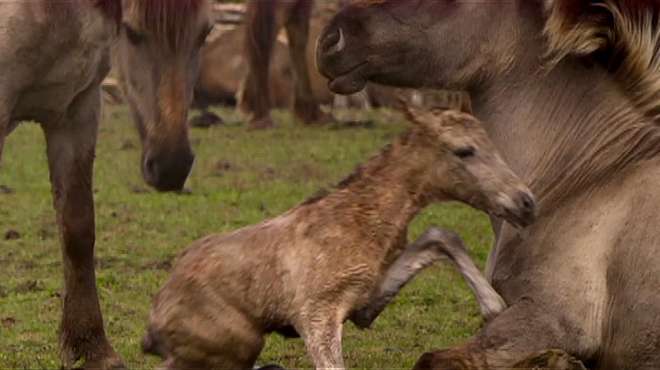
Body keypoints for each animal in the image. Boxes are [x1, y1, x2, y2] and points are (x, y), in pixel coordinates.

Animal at [0, 1, 210, 368]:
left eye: (204, 34)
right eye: (133, 33)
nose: (171, 166)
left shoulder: (77, 111)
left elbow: (77, 230)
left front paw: (90, 347)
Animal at [142, 106, 532, 370]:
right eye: (464, 150)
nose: (526, 202)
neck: (356, 222)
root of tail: (153, 325)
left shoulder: (362, 303)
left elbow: (441, 235)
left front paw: (493, 305)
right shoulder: (316, 317)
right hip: (238, 343)